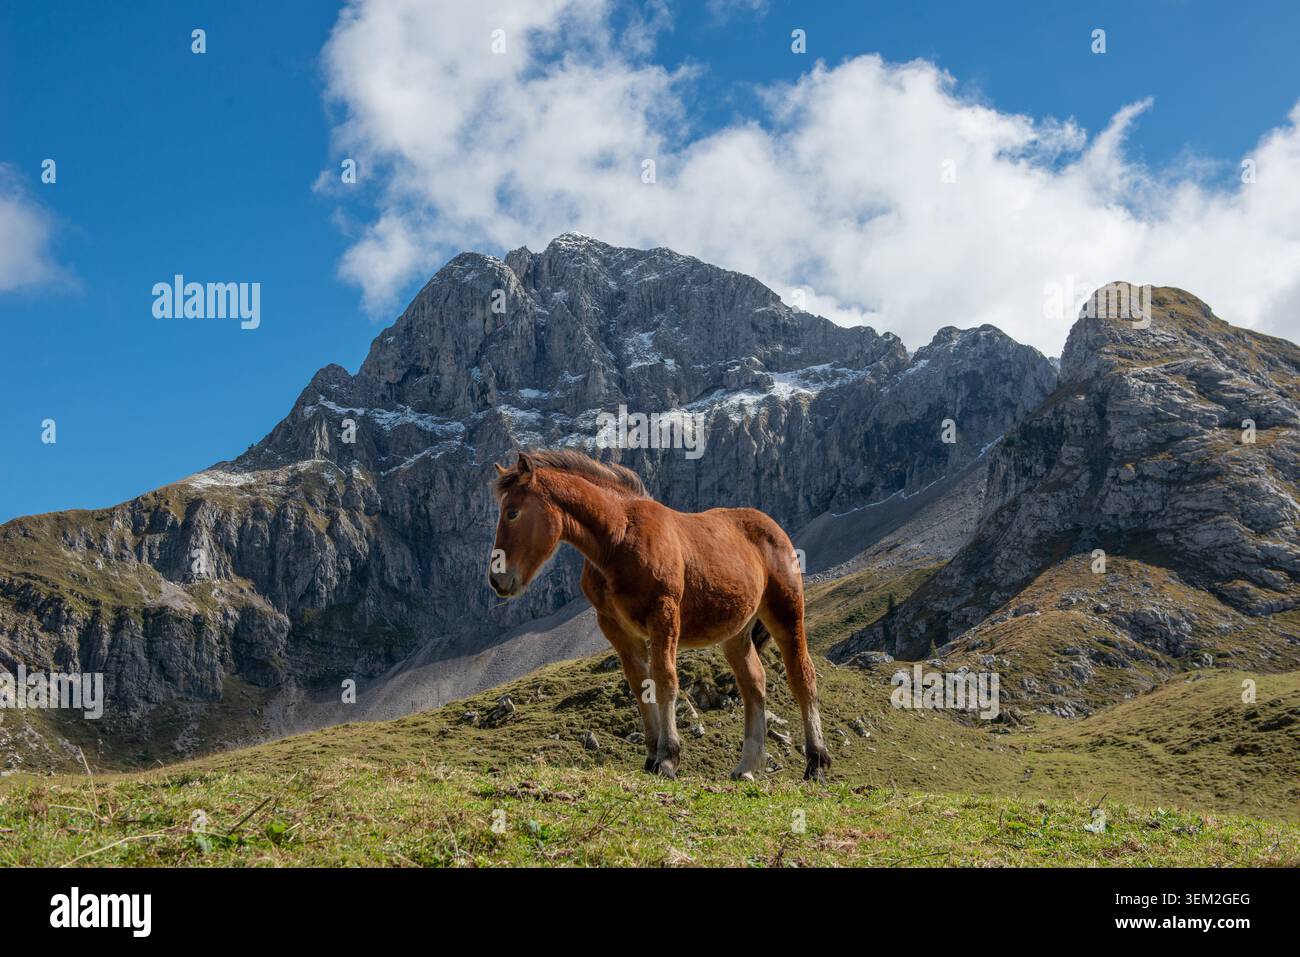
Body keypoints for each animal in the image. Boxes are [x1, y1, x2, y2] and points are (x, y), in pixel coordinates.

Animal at [488, 449, 831, 782]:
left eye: (512, 512)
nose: (497, 579)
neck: (619, 538)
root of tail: (775, 530)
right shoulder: (616, 628)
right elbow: (640, 686)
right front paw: (652, 756)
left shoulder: (663, 615)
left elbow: (665, 679)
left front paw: (668, 758)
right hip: (737, 633)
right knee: (754, 684)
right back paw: (746, 766)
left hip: (786, 612)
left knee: (802, 677)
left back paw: (816, 762)